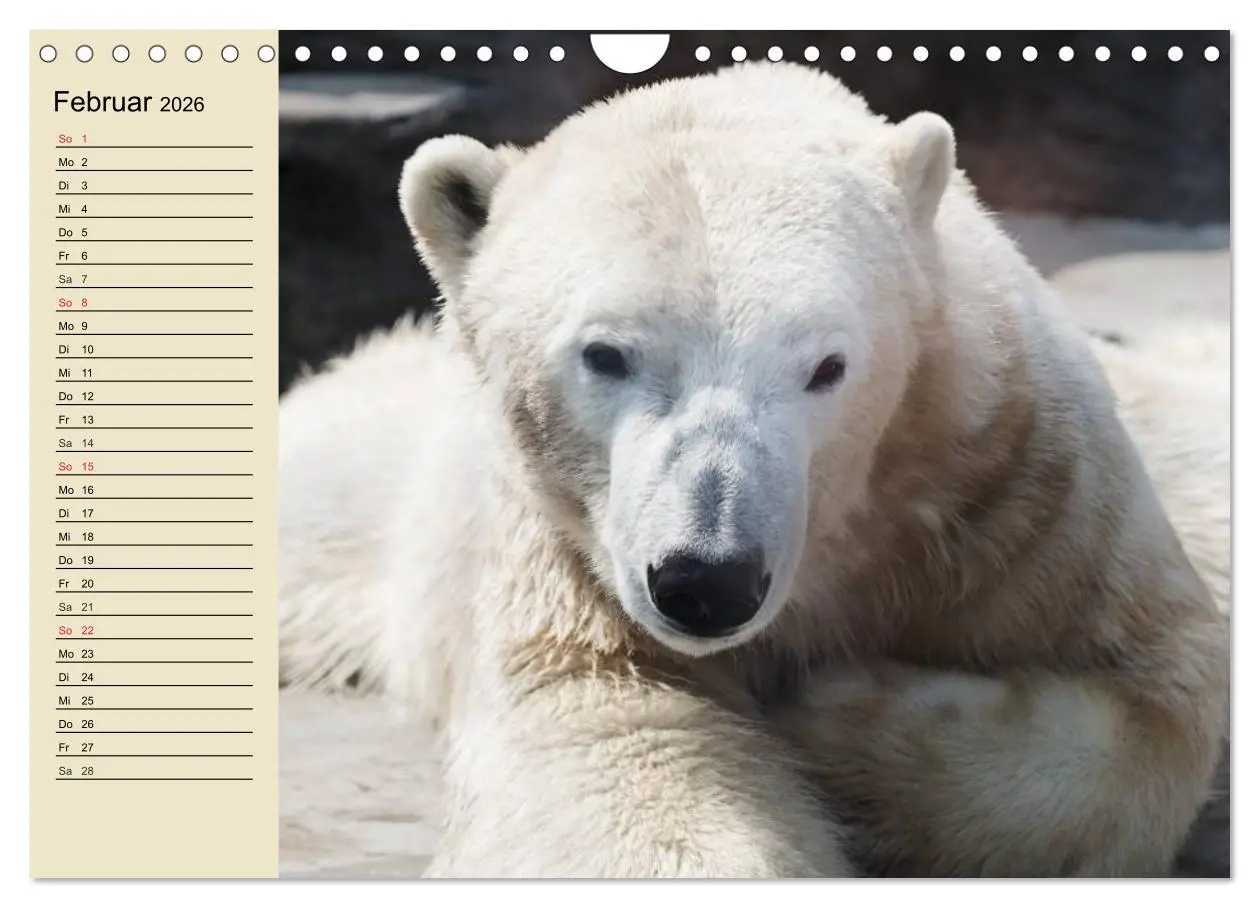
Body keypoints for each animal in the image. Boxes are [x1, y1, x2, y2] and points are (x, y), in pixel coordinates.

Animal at [278, 62, 1230, 877]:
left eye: (827, 366)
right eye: (605, 354)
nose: (708, 581)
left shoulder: (1021, 488)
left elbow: (1160, 698)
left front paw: (833, 715)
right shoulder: (567, 567)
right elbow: (615, 742)